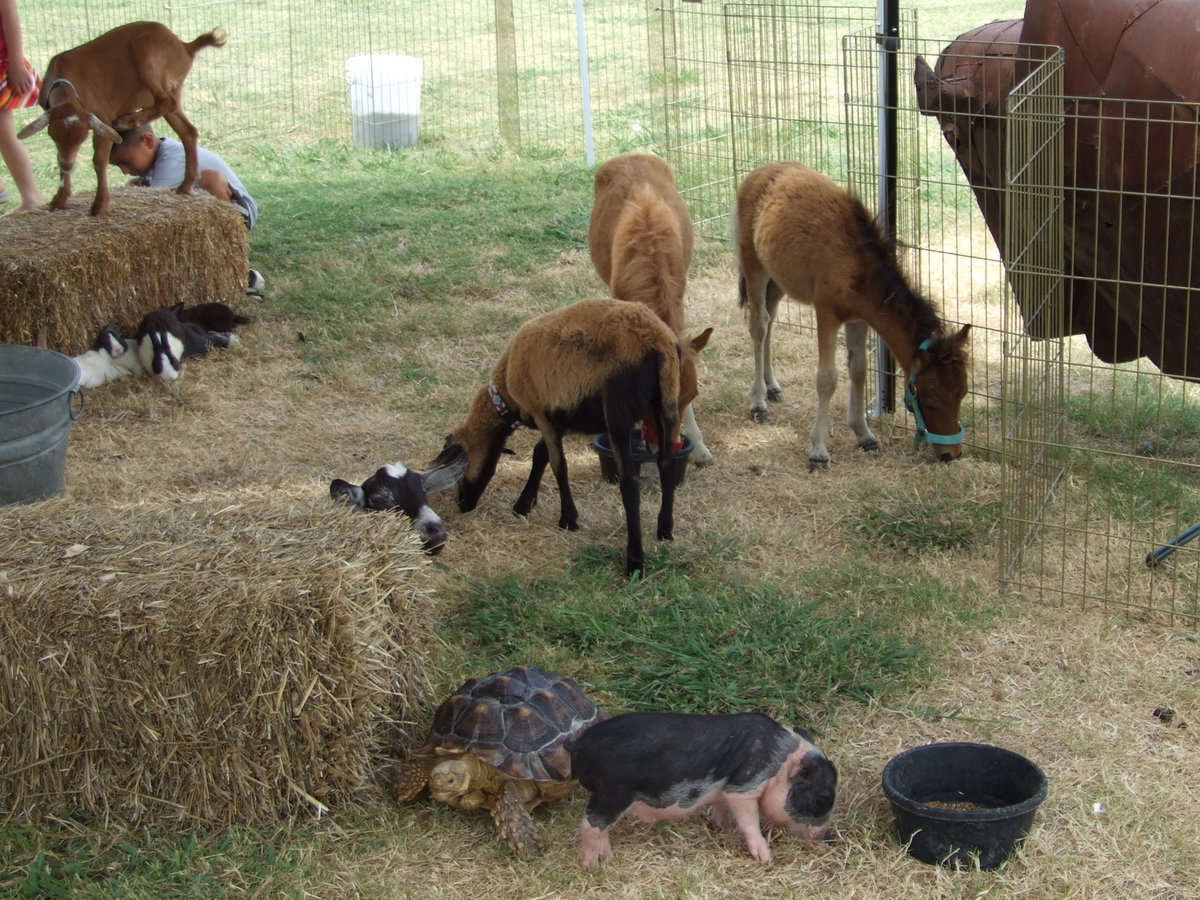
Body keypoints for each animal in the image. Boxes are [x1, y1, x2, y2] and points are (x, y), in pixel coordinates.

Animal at [19, 20, 226, 217]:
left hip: (145, 54)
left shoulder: (102, 119)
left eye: (83, 137)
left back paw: (128, 121)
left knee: (168, 102)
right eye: (52, 135)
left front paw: (100, 205)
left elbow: (99, 160)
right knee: (187, 130)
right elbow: (60, 156)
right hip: (173, 86)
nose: (67, 164)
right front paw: (60, 200)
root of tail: (185, 46)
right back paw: (186, 185)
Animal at [729, 163, 974, 472]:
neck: (857, 265)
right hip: (754, 267)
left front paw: (864, 434)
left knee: (770, 318)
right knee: (759, 325)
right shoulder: (827, 313)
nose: (951, 453)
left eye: (962, 393)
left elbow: (859, 369)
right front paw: (818, 450)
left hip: (779, 276)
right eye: (929, 402)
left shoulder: (860, 319)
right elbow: (827, 379)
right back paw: (759, 402)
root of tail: (759, 172)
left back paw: (772, 386)